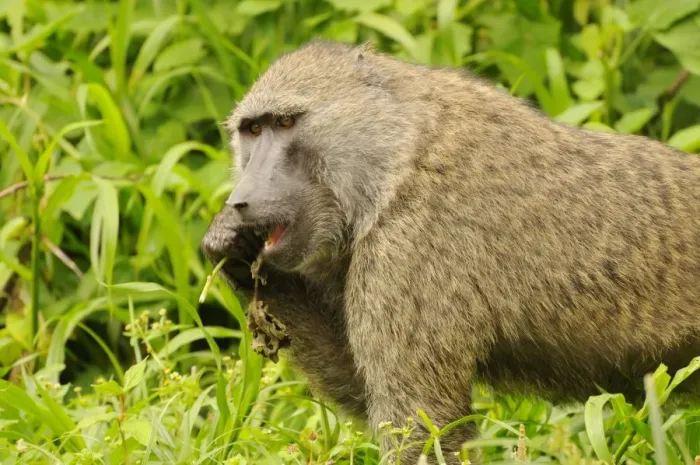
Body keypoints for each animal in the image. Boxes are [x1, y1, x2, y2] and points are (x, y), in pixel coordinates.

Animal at [201, 40, 700, 463]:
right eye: (252, 130)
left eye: (285, 123)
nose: (241, 199)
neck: (395, 154)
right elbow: (362, 388)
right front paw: (231, 248)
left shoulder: (410, 248)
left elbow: (421, 425)